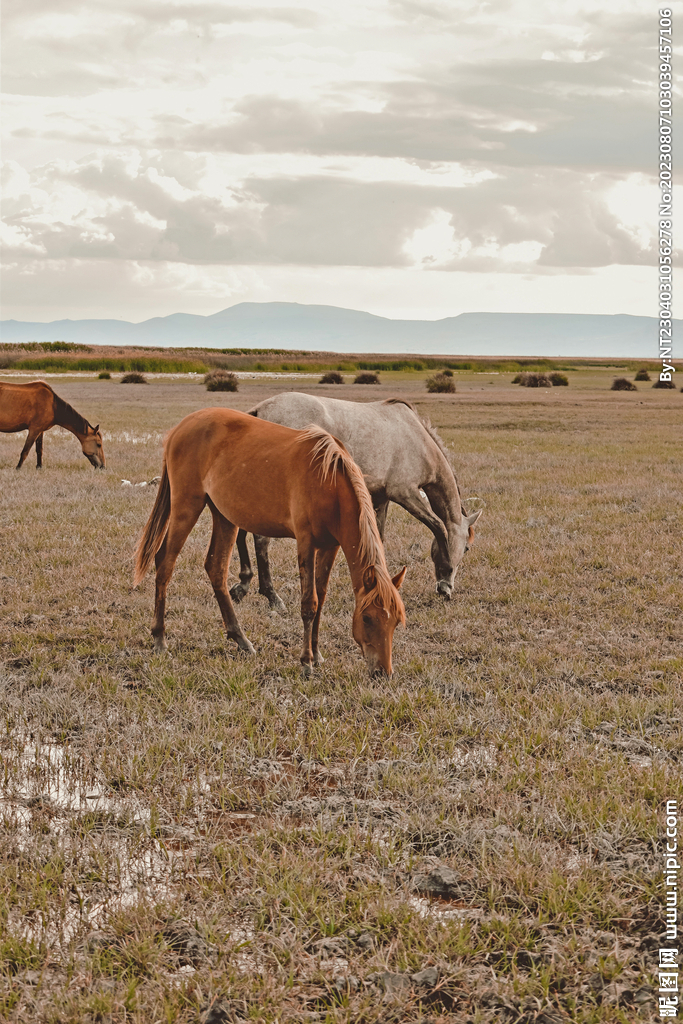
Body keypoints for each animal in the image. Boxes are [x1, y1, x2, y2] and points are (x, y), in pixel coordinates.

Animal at [134, 408, 406, 677]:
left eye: (396, 621)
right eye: (367, 618)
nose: (383, 672)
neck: (327, 482)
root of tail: (182, 426)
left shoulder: (330, 546)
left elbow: (321, 598)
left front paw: (317, 653)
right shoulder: (306, 543)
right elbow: (309, 602)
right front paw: (306, 661)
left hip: (224, 517)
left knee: (216, 569)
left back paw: (241, 639)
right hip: (187, 506)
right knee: (165, 563)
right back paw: (160, 639)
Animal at [230, 393, 481, 611]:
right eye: (467, 548)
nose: (449, 587)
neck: (416, 439)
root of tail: (260, 410)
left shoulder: (380, 498)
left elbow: (379, 539)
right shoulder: (405, 494)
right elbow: (439, 527)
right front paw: (444, 580)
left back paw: (243, 586)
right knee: (261, 540)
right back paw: (272, 596)